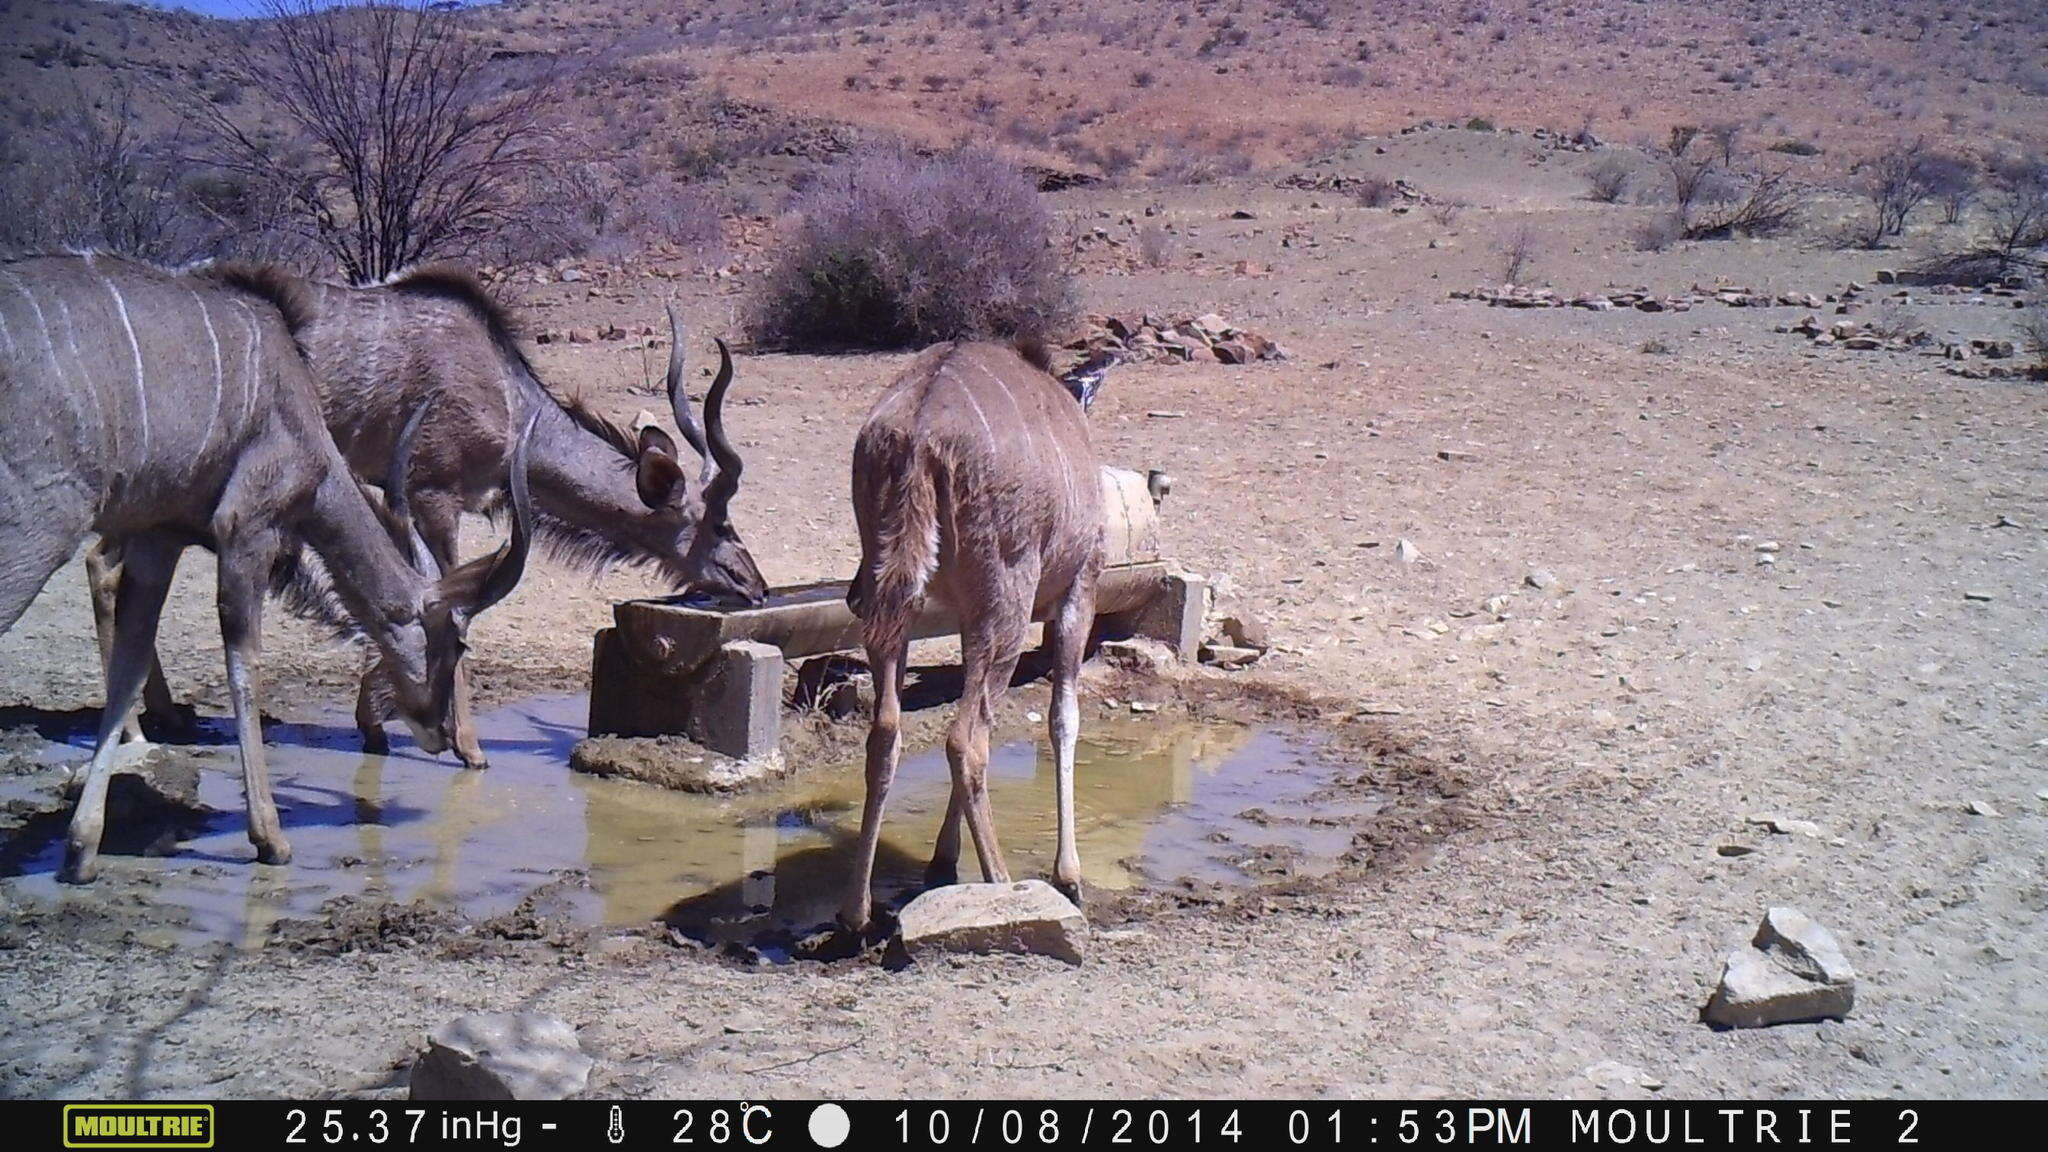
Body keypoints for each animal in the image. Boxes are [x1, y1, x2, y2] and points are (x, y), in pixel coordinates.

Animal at [0, 253, 536, 877]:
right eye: (457, 644)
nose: (443, 733)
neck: (292, 401)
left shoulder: (160, 537)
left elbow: (128, 669)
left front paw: (82, 848)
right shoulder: (246, 530)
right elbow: (245, 662)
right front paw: (270, 837)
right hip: (32, 537)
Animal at [88, 266, 761, 762]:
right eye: (720, 523)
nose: (754, 585)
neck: (509, 401)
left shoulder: (402, 495)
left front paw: (375, 723)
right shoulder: (434, 496)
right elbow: (452, 604)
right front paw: (468, 748)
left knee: (110, 565)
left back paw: (165, 716)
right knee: (102, 564)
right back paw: (138, 729)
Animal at [839, 336, 1114, 926]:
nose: (850, 595)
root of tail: (917, 439)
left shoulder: (967, 615)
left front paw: (942, 860)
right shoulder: (1080, 587)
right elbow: (1063, 718)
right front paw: (1070, 875)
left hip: (898, 606)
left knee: (887, 731)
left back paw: (856, 911)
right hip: (1008, 598)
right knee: (966, 740)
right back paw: (1005, 885)